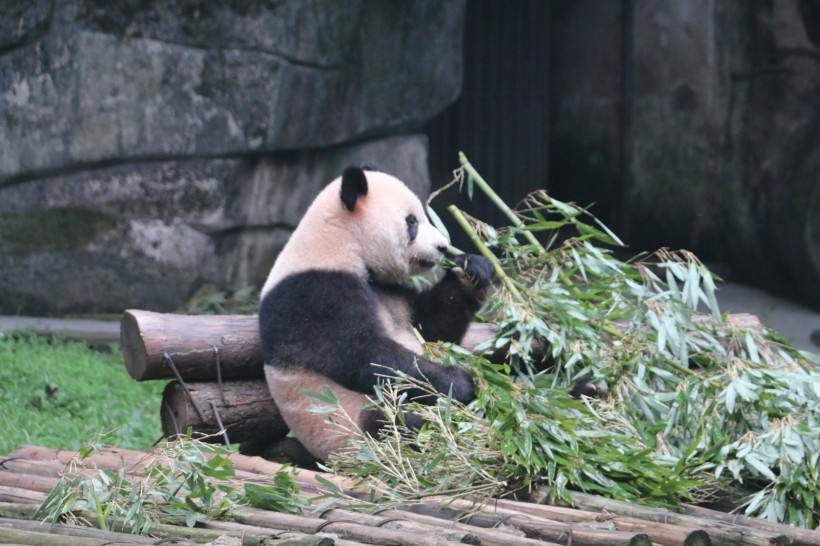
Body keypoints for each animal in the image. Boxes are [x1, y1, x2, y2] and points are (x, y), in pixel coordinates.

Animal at [258, 165, 494, 460]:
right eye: (411, 222)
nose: (442, 247)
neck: (341, 242)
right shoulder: (315, 293)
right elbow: (365, 355)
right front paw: (459, 382)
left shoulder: (392, 291)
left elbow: (432, 328)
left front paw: (472, 270)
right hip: (349, 426)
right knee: (398, 421)